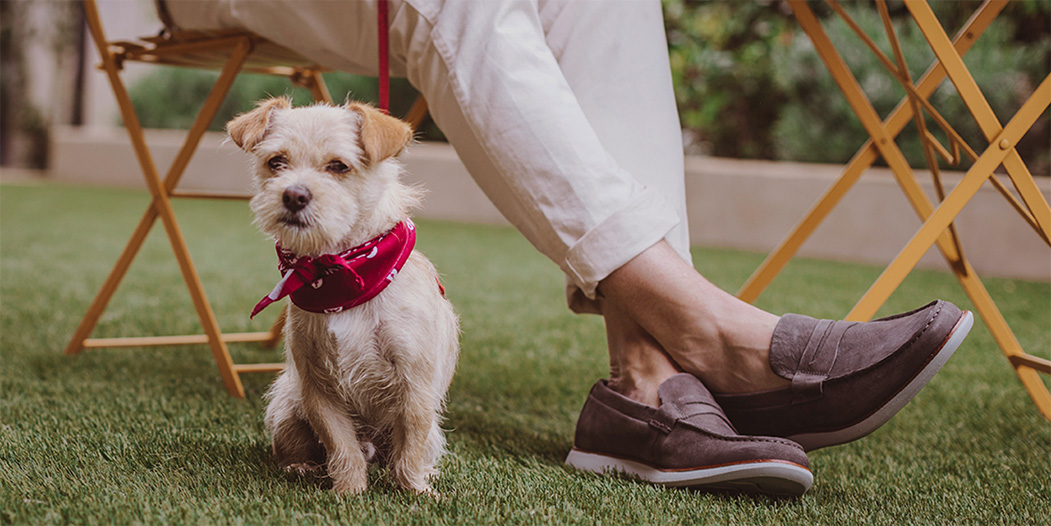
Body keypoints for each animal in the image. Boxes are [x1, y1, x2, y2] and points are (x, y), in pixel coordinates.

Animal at [228, 96, 458, 494]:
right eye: (277, 162)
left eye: (338, 166)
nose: (293, 194)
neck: (341, 274)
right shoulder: (317, 389)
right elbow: (341, 445)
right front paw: (349, 491)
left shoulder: (415, 385)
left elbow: (409, 447)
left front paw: (415, 490)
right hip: (287, 407)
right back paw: (301, 467)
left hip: (432, 433)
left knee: (412, 449)